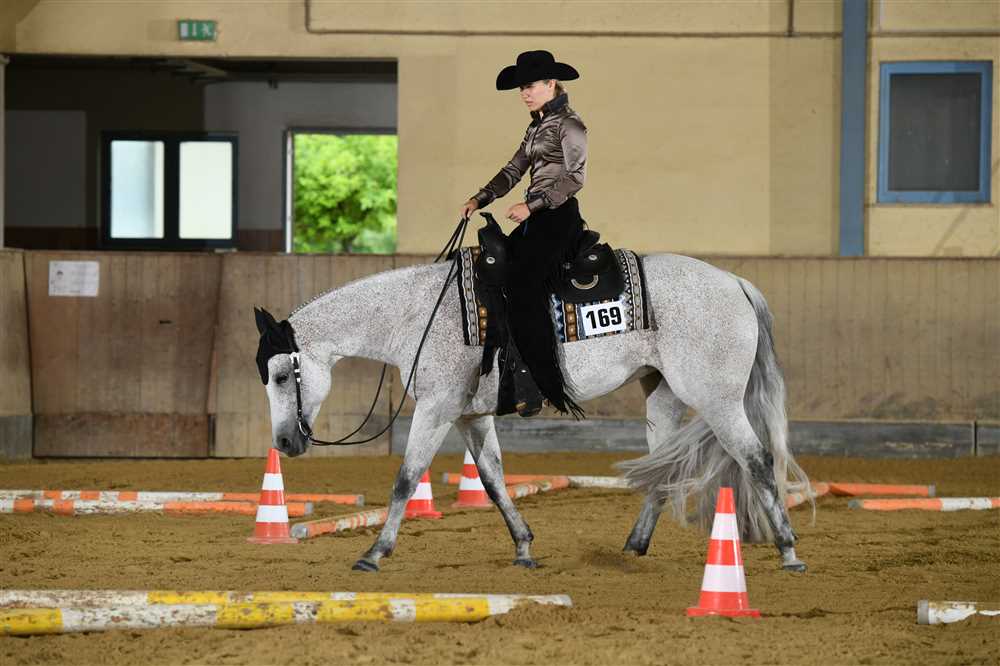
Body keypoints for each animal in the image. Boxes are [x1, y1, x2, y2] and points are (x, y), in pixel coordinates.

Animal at [253, 251, 811, 573]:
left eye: (280, 376)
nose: (283, 443)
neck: (418, 314)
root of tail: (735, 282)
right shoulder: (470, 417)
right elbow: (493, 479)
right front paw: (523, 547)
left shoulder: (436, 409)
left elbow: (407, 479)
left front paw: (374, 553)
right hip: (664, 396)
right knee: (663, 471)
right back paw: (633, 546)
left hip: (717, 399)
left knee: (758, 461)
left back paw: (788, 550)